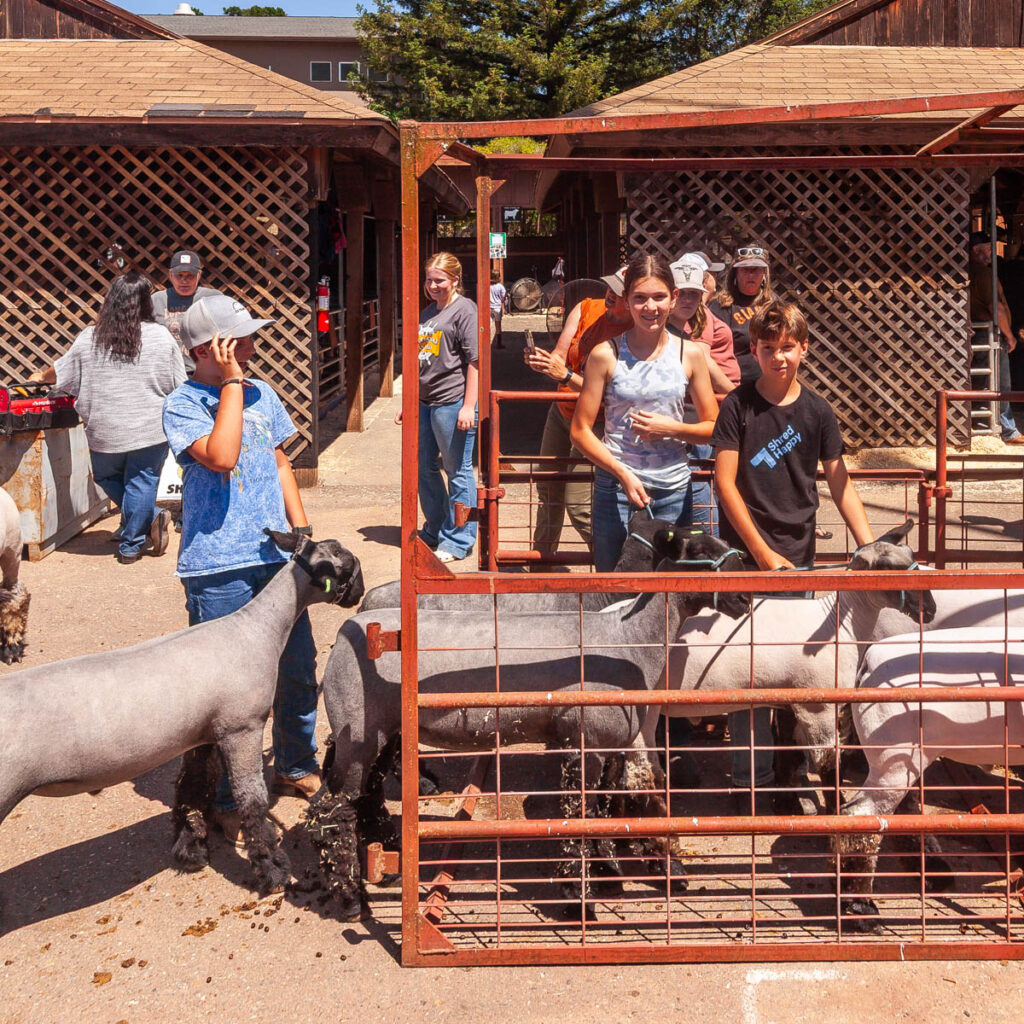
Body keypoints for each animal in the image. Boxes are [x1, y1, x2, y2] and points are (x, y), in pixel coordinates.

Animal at [0, 531, 363, 904]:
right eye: (349, 563)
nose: (359, 594)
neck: (258, 628)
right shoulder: (242, 726)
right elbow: (252, 801)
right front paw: (273, 870)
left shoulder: (202, 733)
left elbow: (190, 787)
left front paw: (190, 851)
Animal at [314, 529, 748, 921]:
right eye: (700, 550)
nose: (744, 597)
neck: (628, 638)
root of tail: (348, 629)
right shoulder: (581, 739)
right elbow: (579, 813)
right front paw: (578, 897)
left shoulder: (609, 741)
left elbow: (604, 806)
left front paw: (607, 869)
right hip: (357, 725)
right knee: (335, 806)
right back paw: (351, 898)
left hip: (381, 728)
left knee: (367, 792)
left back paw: (387, 858)